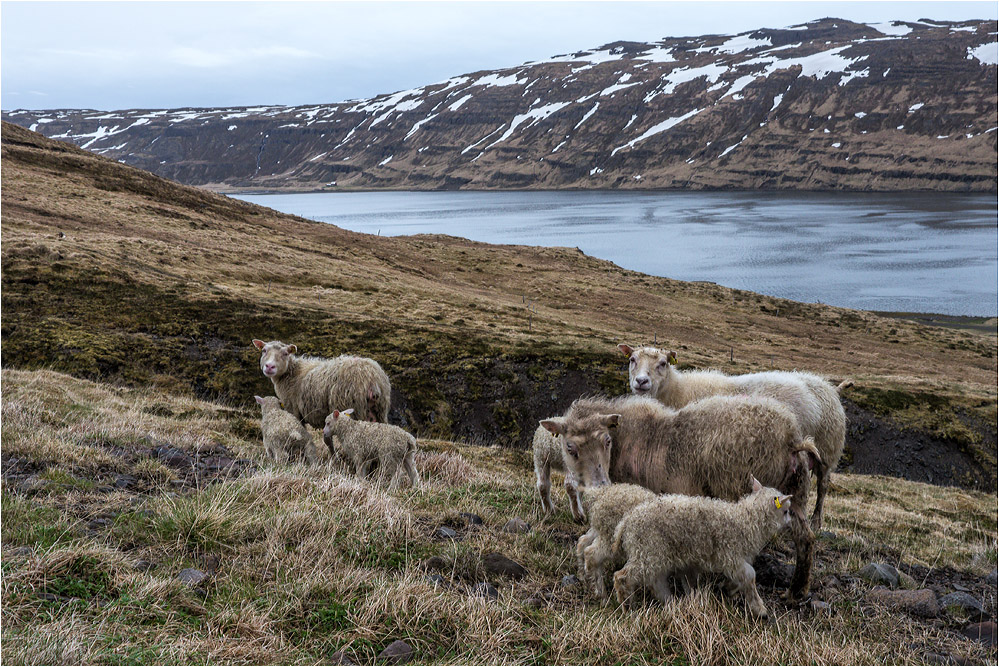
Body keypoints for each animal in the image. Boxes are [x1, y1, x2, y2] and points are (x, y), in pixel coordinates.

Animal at [250, 340, 390, 428]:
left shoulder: (293, 410)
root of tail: (371, 378)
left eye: (285, 353)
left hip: (352, 408)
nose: (269, 366)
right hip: (379, 412)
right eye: (264, 350)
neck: (292, 373)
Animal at [544, 396, 824, 600]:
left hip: (742, 487)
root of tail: (792, 438)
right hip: (795, 493)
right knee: (805, 538)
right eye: (570, 447)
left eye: (607, 441)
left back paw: (734, 587)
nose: (600, 485)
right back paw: (796, 591)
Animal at [612, 478, 792, 620]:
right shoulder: (730, 555)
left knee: (656, 581)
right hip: (648, 549)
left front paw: (727, 589)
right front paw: (760, 609)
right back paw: (628, 609)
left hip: (654, 552)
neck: (746, 520)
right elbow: (750, 575)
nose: (790, 523)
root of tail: (626, 521)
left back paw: (671, 602)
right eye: (786, 511)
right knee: (622, 577)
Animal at [620, 344, 848, 532]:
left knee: (823, 487)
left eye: (663, 363)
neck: (678, 390)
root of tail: (827, 385)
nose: (641, 381)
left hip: (828, 451)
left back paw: (816, 522)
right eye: (632, 360)